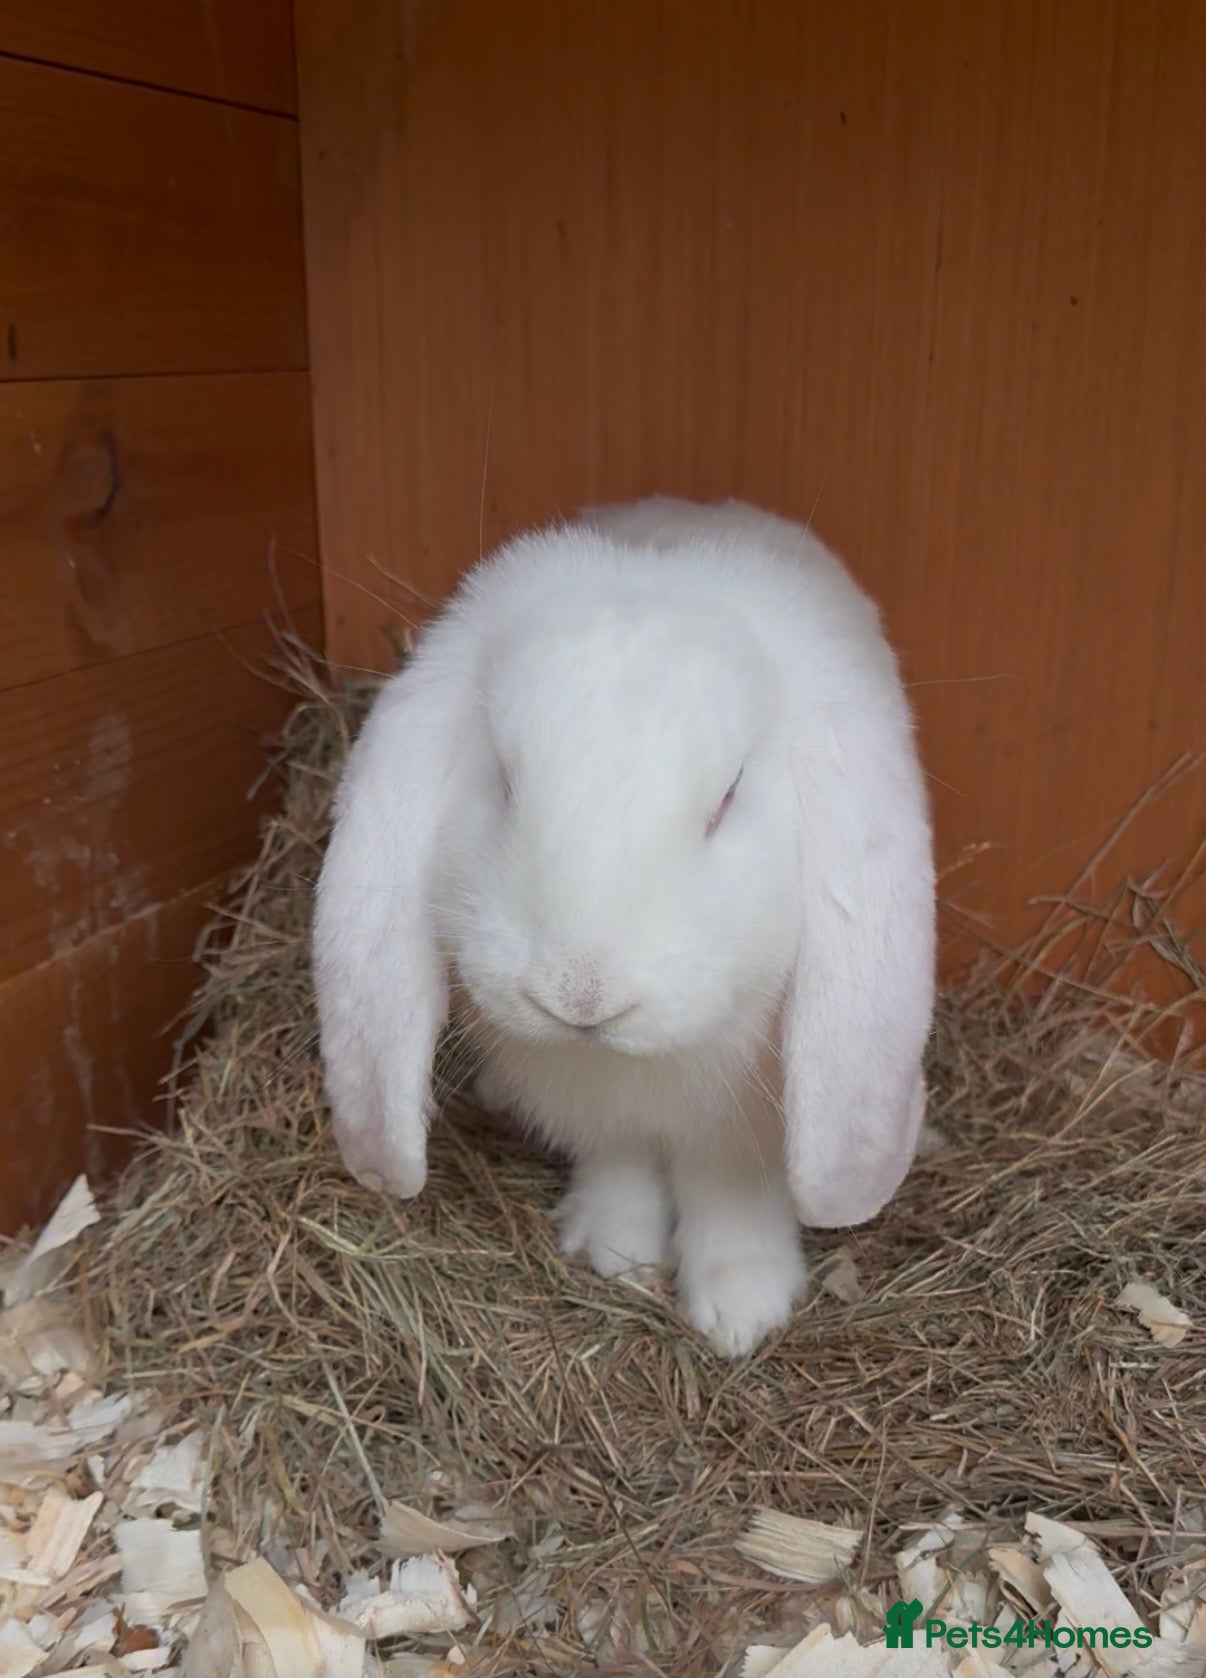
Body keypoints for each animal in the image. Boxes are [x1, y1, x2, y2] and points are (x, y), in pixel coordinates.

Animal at [313, 496, 935, 1357]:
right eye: (502, 780)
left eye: (726, 799)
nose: (581, 994)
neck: (622, 1063)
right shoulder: (597, 1111)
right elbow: (619, 1157)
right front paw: (614, 1248)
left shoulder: (741, 1125)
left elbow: (730, 1187)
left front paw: (741, 1306)